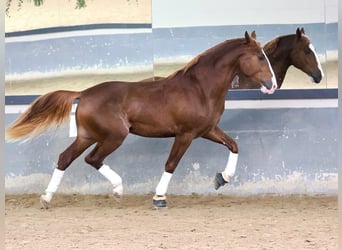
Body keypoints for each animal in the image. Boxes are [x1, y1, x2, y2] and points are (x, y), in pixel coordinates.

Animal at [5, 31, 276, 209]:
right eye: (260, 57)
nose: (272, 85)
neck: (199, 88)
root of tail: (83, 93)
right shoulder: (186, 134)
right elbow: (171, 164)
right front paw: (159, 198)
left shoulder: (208, 130)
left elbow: (234, 145)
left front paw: (222, 179)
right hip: (114, 136)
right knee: (93, 159)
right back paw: (118, 190)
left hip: (87, 136)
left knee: (65, 158)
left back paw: (46, 198)